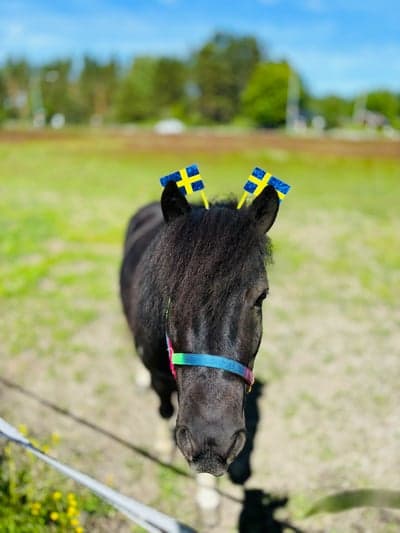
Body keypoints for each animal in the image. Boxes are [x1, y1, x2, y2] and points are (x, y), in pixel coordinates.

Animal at [120, 182, 280, 474]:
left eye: (261, 296)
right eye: (171, 293)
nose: (211, 443)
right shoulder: (160, 379)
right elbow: (164, 409)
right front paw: (163, 449)